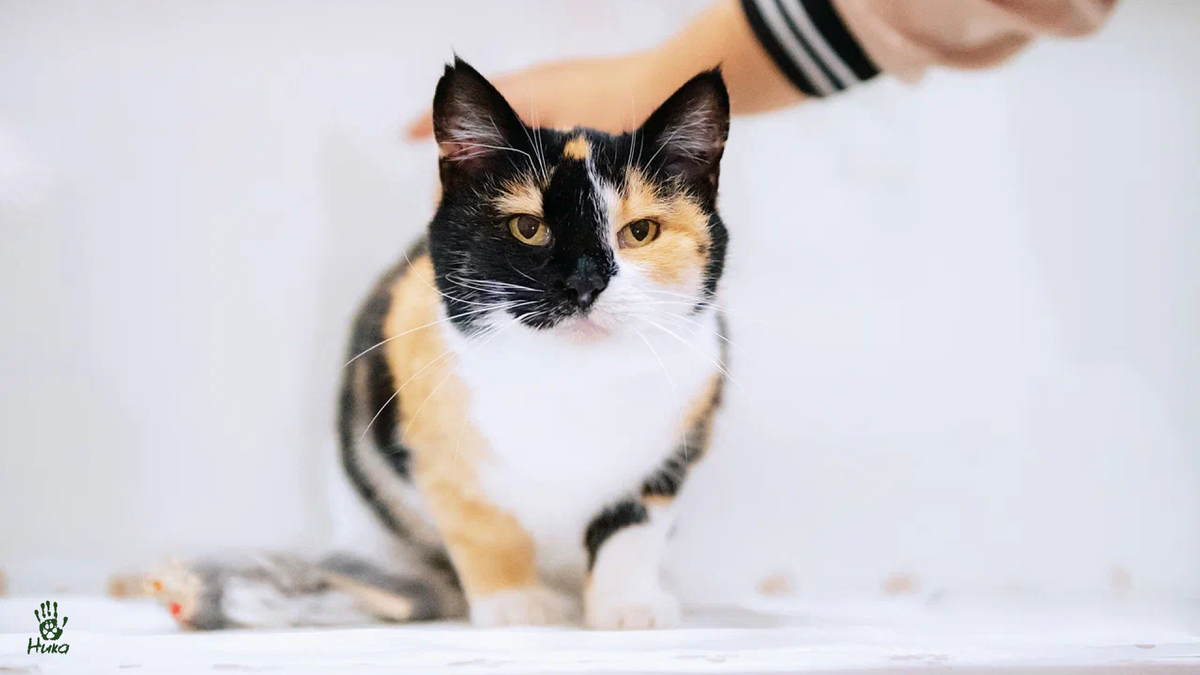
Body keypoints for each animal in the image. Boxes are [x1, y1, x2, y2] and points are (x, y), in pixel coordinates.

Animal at [149, 58, 731, 631]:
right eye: (527, 227)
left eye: (641, 232)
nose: (584, 284)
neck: (572, 380)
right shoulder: (439, 452)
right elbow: (486, 527)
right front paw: (516, 606)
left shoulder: (671, 451)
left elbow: (633, 533)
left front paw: (628, 606)